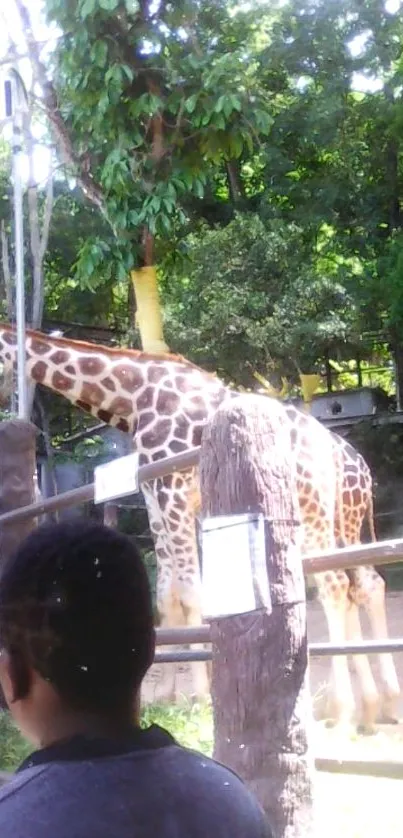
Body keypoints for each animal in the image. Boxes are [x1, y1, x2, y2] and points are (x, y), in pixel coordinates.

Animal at [0, 324, 400, 732]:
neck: (133, 395)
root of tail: (355, 464)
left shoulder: (173, 489)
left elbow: (192, 593)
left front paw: (201, 698)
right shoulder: (155, 495)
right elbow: (167, 595)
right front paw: (172, 695)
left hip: (318, 513)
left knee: (336, 587)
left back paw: (347, 712)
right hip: (340, 523)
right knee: (363, 584)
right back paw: (376, 706)